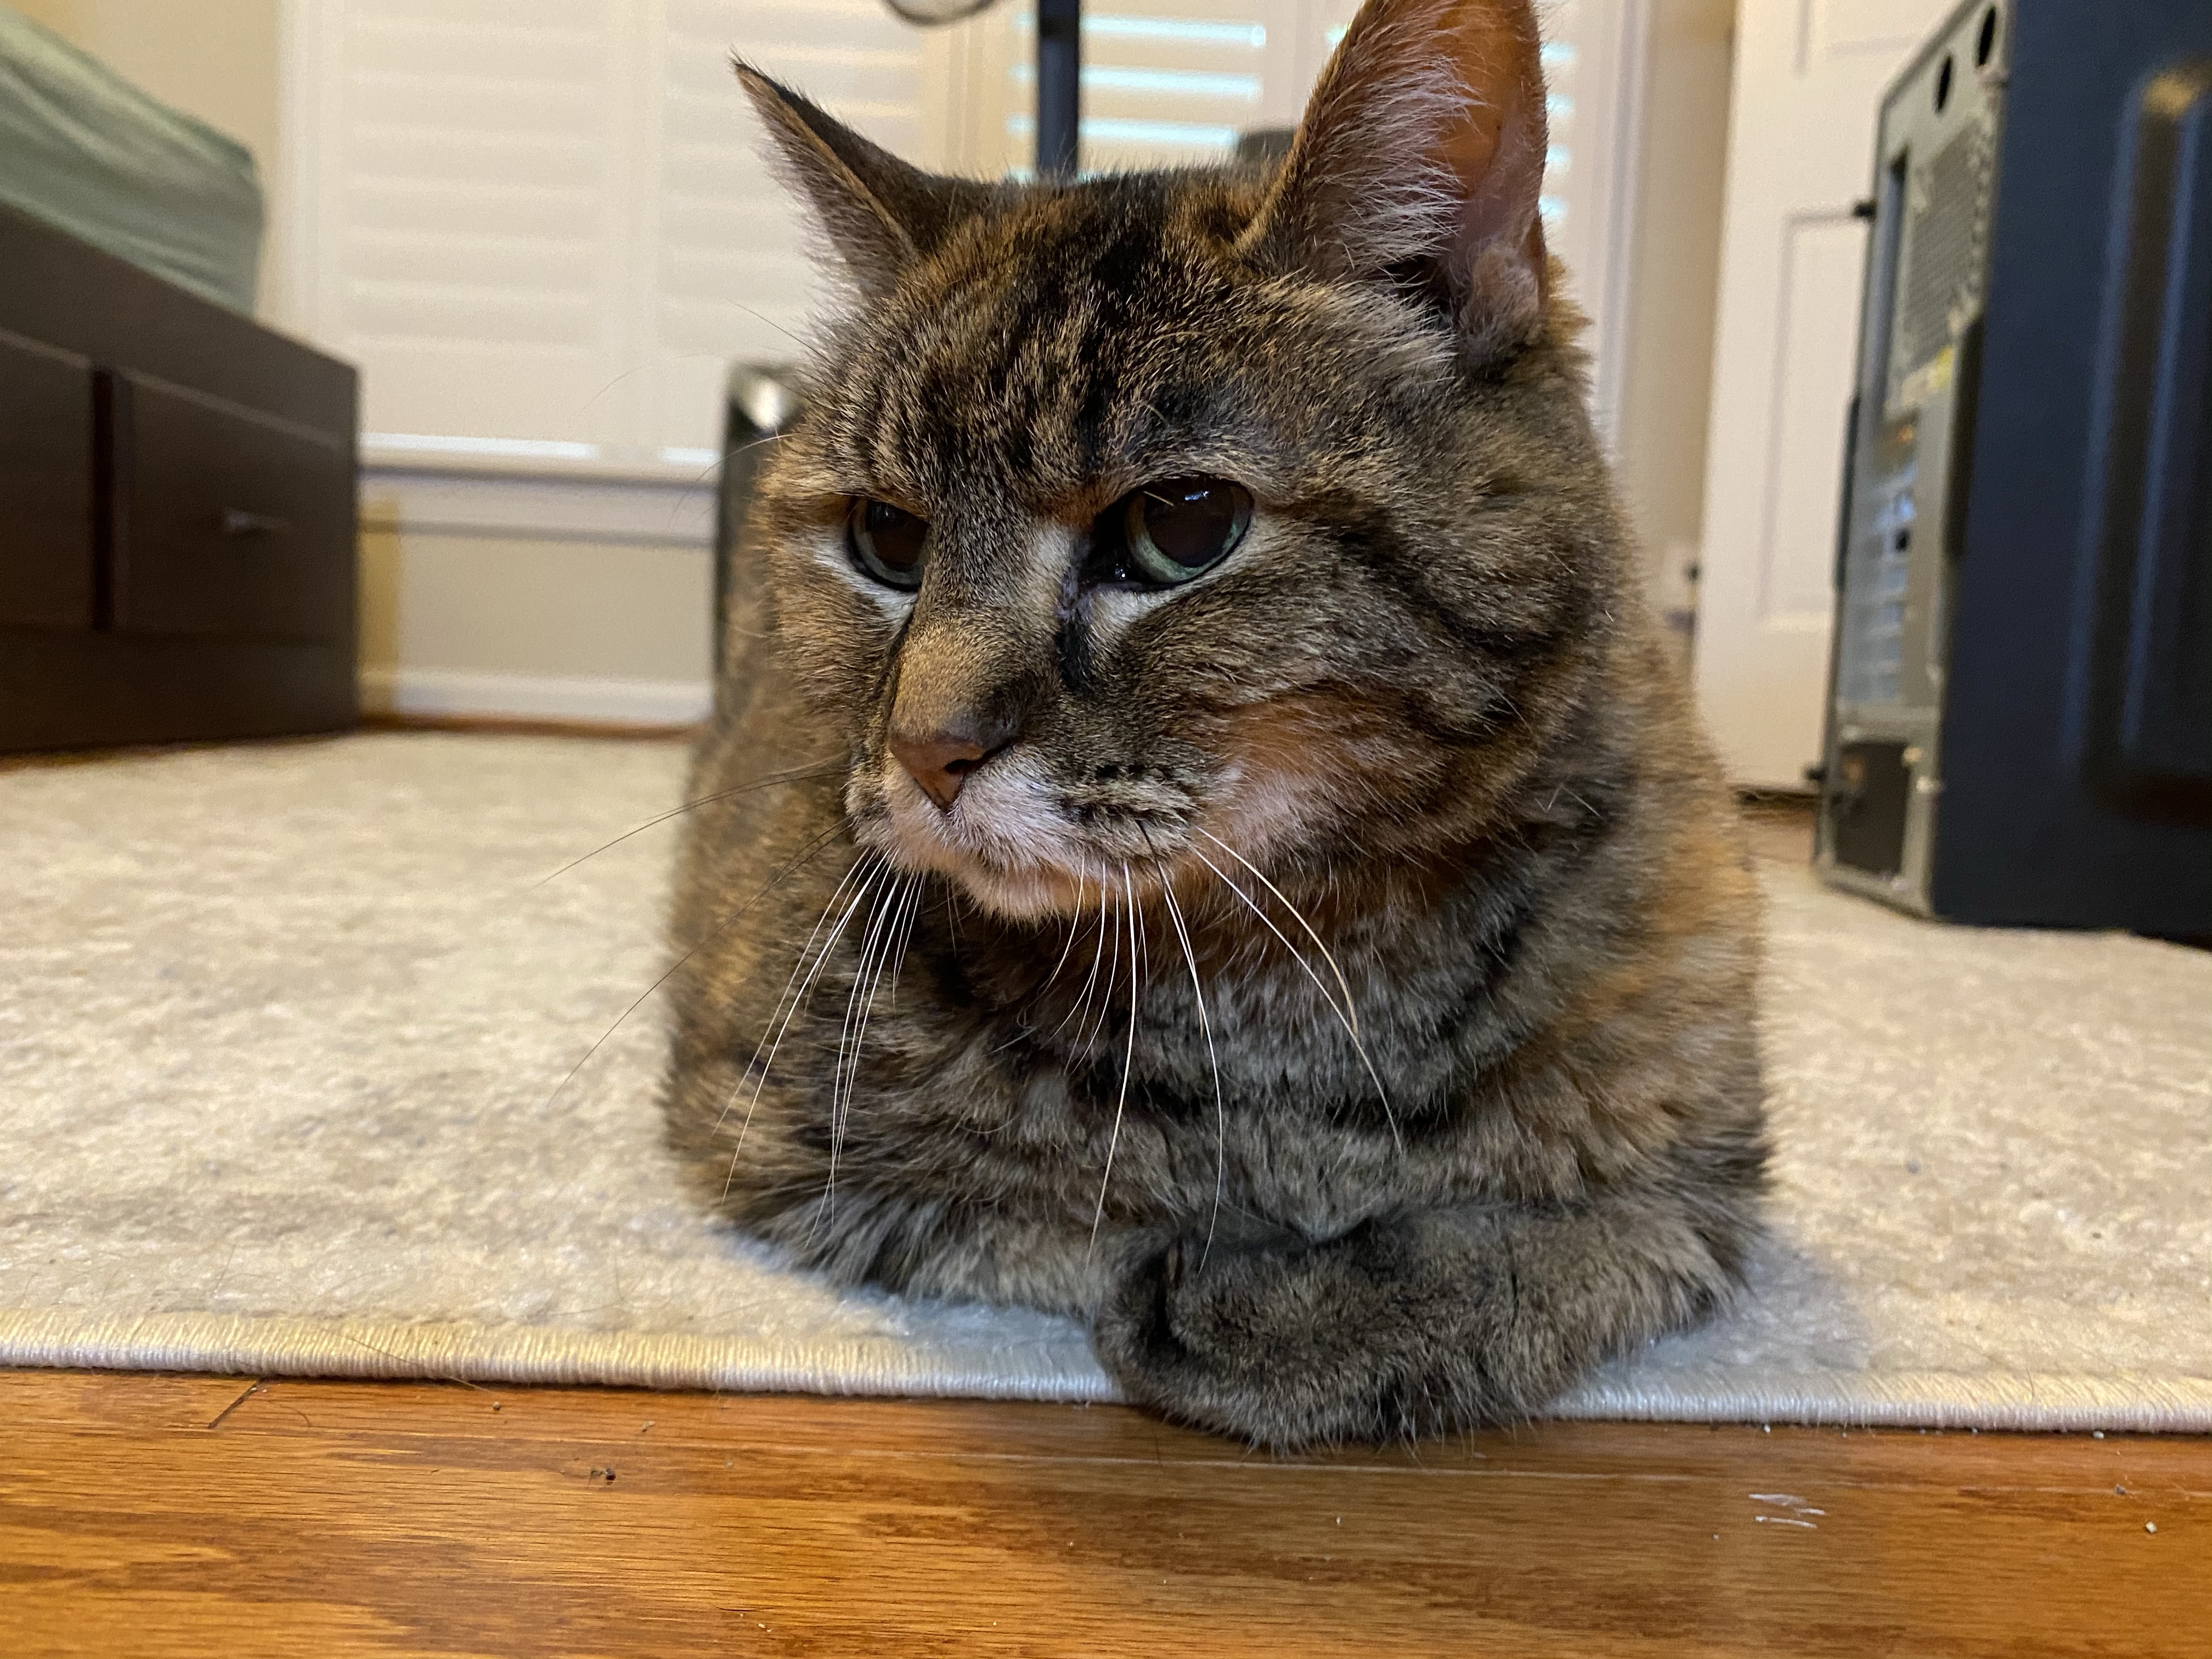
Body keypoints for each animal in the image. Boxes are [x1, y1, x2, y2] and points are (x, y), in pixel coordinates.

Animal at [654, 0, 1760, 1451]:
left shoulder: (1708, 1180)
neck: (1286, 970)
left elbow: (1573, 1243)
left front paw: (1314, 1307)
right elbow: (1066, 1202)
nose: (928, 749)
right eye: (887, 538)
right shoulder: (768, 1135)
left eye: (1181, 527)